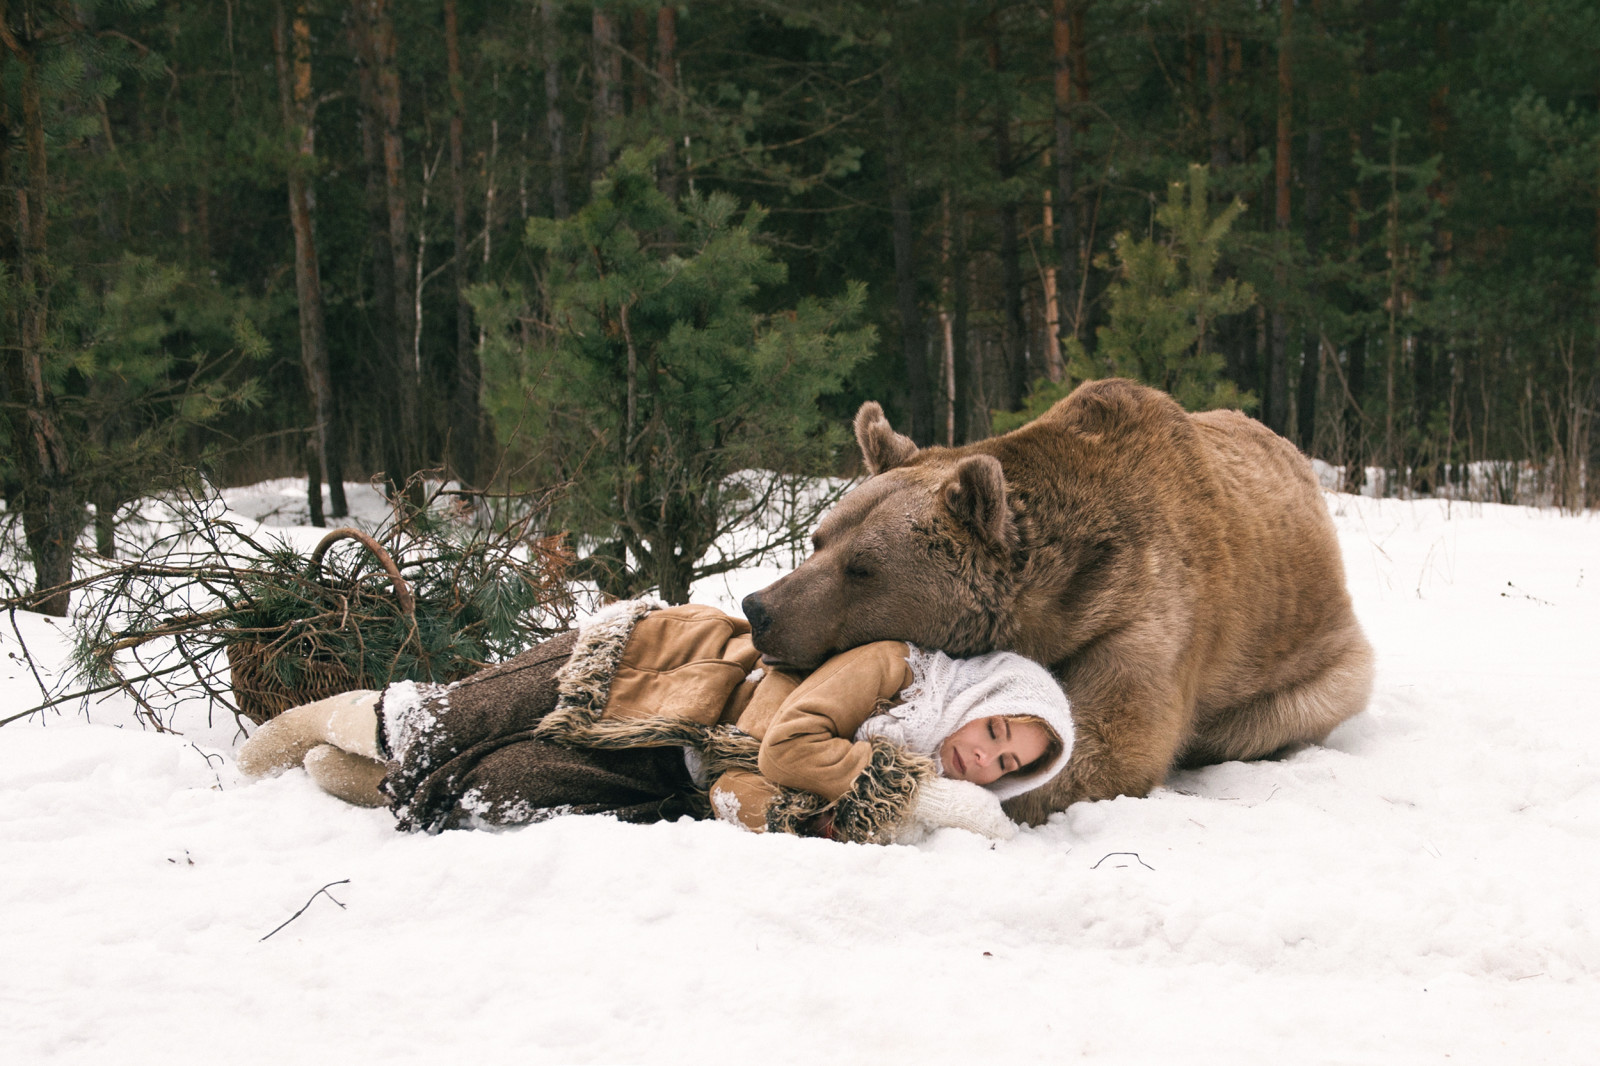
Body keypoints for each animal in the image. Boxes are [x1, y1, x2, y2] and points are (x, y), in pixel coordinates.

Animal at [739, 376, 1376, 819]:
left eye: (863, 568)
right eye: (819, 539)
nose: (760, 609)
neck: (1053, 606)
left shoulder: (1144, 616)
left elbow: (1107, 746)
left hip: (1312, 669)